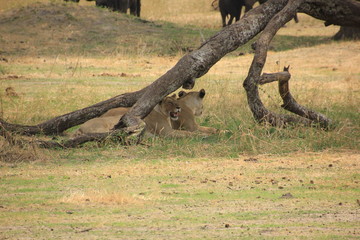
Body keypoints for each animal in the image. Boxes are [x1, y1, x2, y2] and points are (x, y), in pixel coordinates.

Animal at [74, 89, 218, 138]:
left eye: (175, 101)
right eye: (169, 102)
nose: (178, 108)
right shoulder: (170, 132)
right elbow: (189, 133)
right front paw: (205, 135)